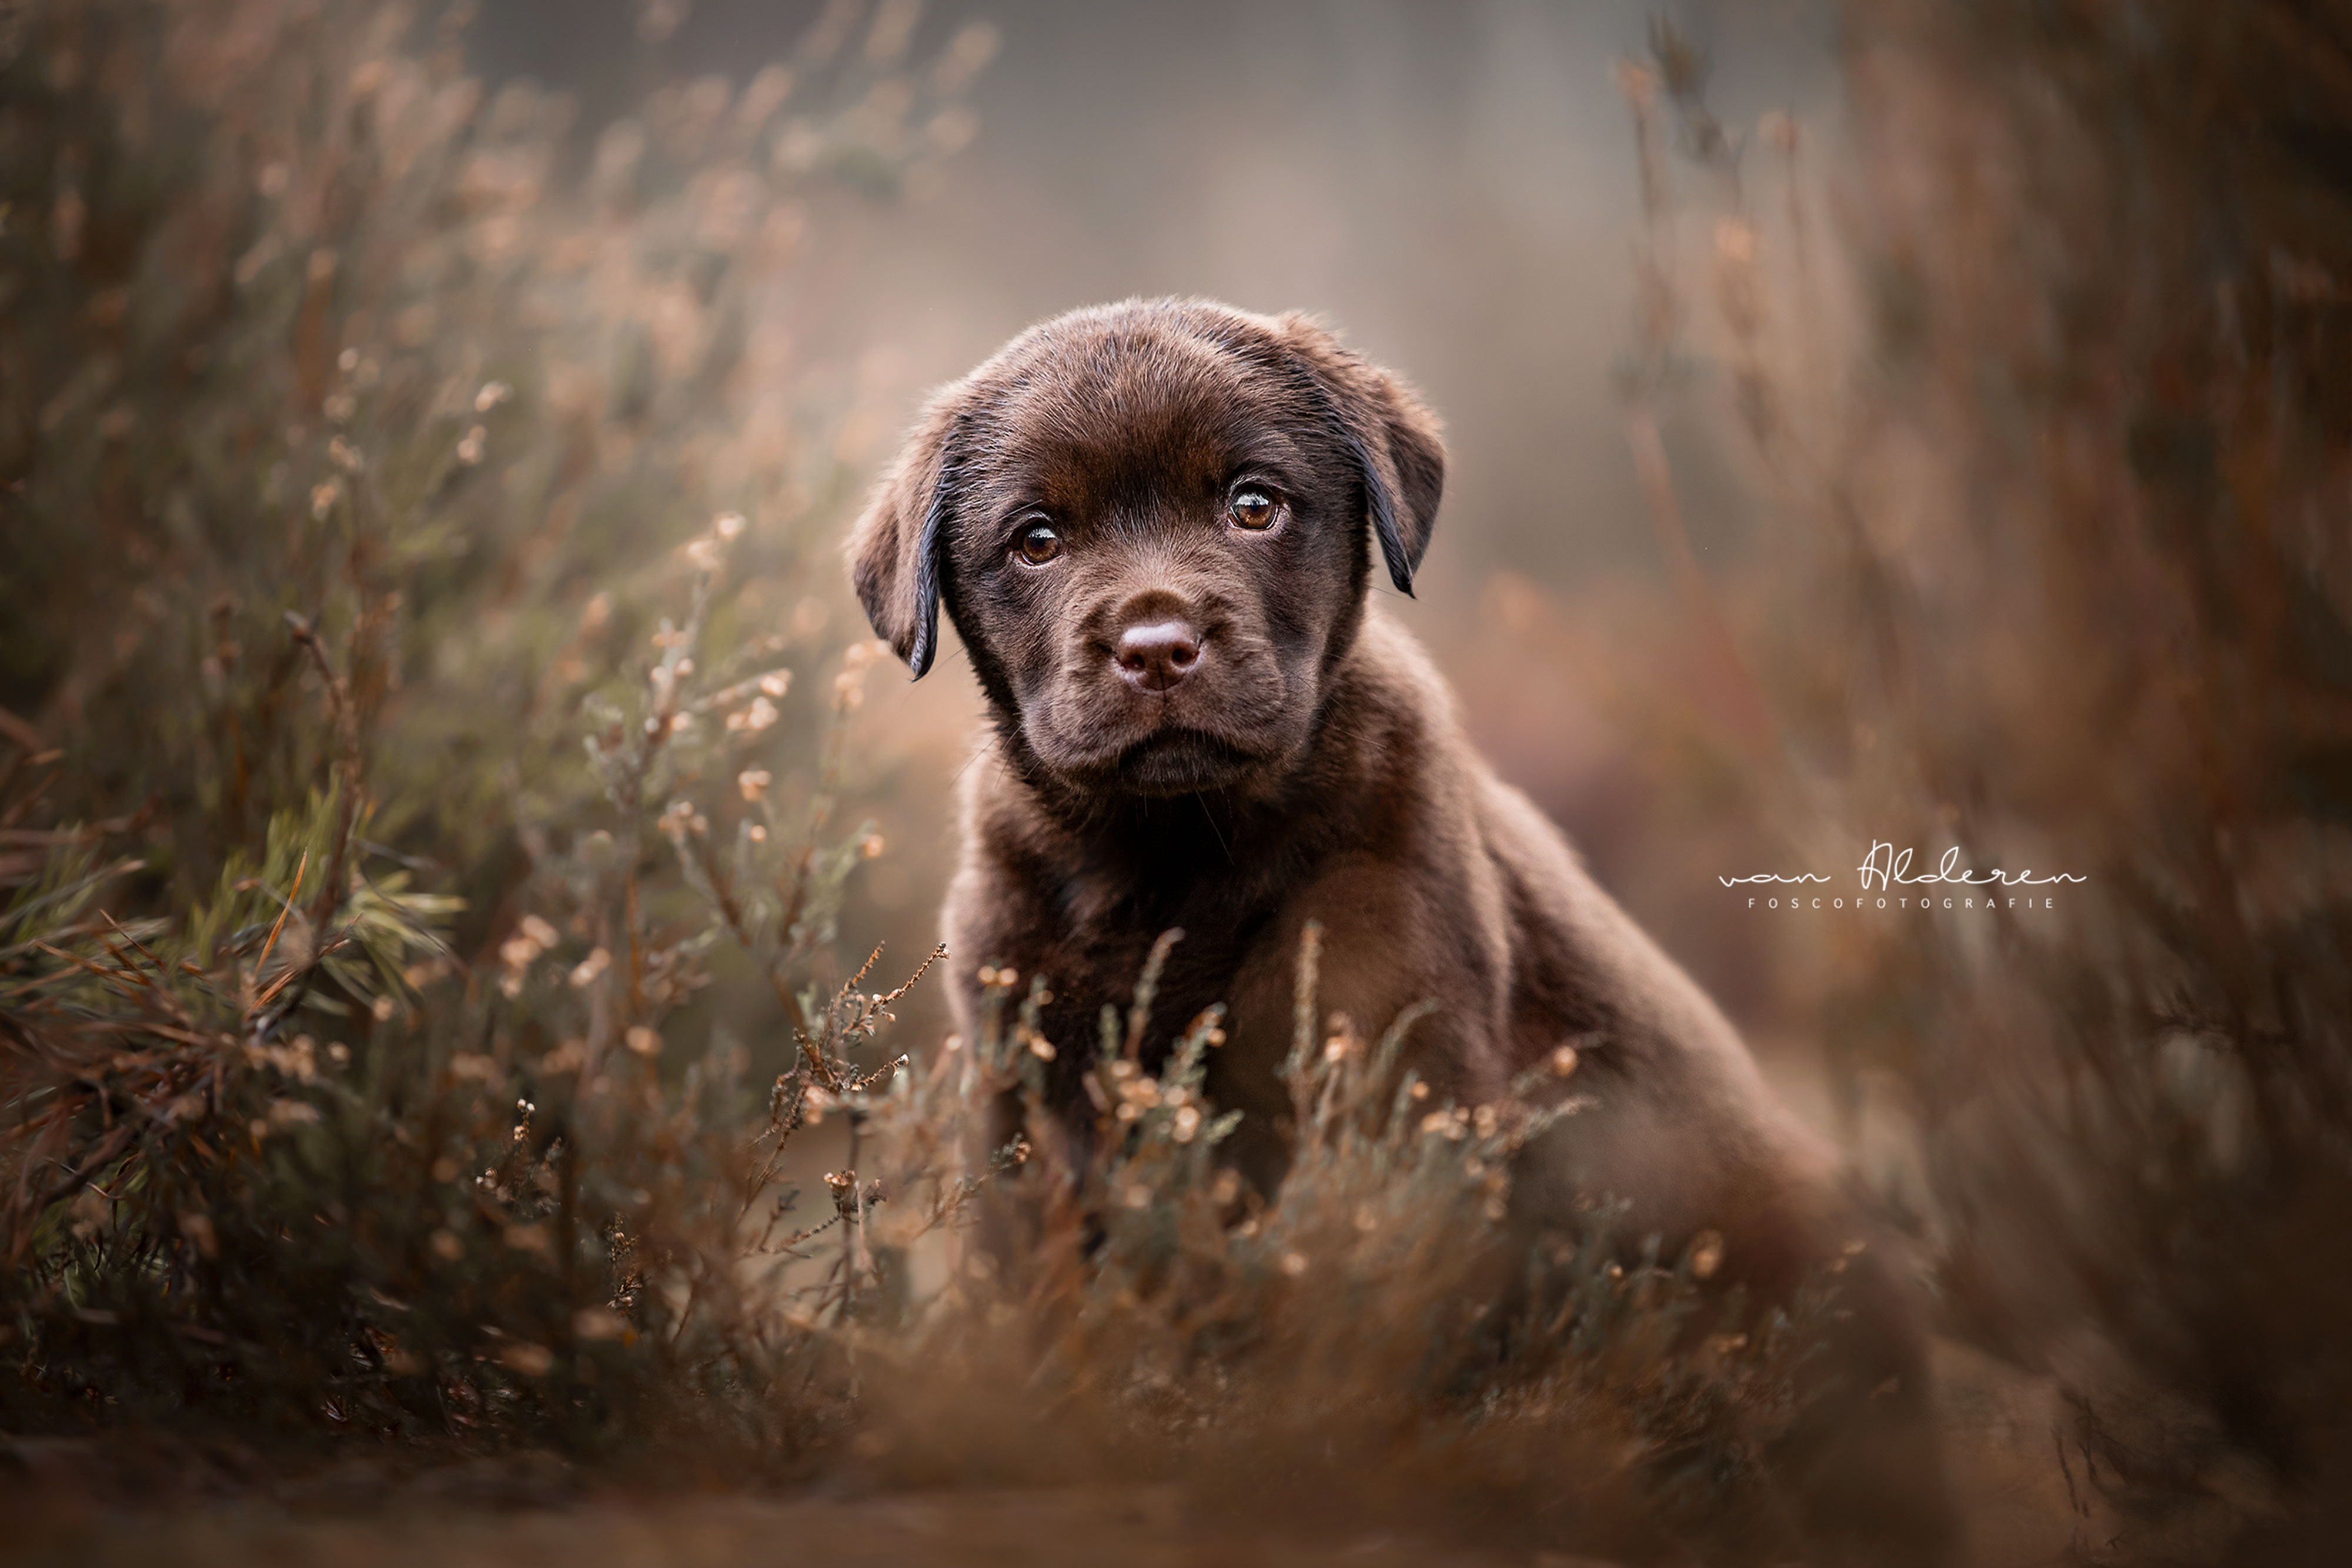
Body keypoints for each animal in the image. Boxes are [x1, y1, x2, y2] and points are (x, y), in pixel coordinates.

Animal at [847, 293, 1947, 1561]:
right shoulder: (1022, 1097)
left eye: (1253, 504)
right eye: (1035, 539)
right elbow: (1037, 1303)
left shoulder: (1388, 1061)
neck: (1173, 857)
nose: (1157, 646)